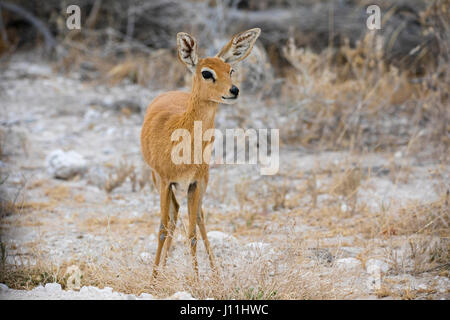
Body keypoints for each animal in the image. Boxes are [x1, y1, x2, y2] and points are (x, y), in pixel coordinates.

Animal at [141, 28, 260, 276]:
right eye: (206, 72)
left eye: (230, 69)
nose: (234, 90)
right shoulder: (165, 181)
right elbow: (161, 228)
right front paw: (154, 277)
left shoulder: (195, 183)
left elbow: (192, 233)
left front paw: (196, 279)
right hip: (158, 180)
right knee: (173, 217)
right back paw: (162, 268)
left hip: (201, 182)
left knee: (197, 218)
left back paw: (215, 274)